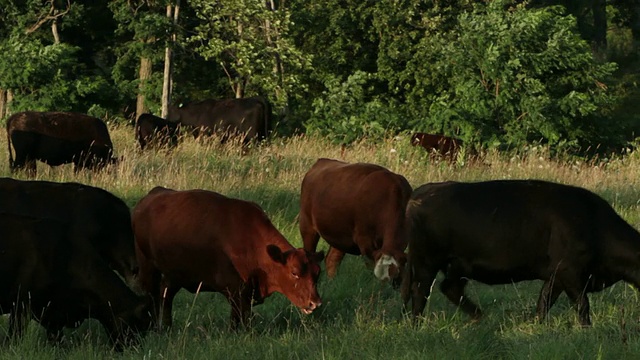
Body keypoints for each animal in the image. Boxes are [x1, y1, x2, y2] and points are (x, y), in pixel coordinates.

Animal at [0, 212, 151, 348]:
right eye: (138, 326)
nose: (136, 349)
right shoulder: (21, 304)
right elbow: (14, 337)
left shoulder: (52, 313)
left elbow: (58, 340)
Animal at [134, 187, 324, 330]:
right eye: (294, 272)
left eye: (317, 273)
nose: (314, 303)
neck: (251, 239)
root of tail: (147, 200)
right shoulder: (235, 291)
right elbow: (240, 318)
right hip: (148, 269)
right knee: (151, 296)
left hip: (174, 276)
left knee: (165, 297)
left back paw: (167, 327)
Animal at [402, 180, 640, 326]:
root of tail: (421, 192)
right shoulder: (570, 272)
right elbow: (582, 305)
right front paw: (586, 330)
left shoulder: (556, 275)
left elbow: (544, 302)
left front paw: (539, 327)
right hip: (426, 261)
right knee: (420, 292)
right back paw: (417, 325)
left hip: (457, 265)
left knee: (450, 288)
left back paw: (481, 317)